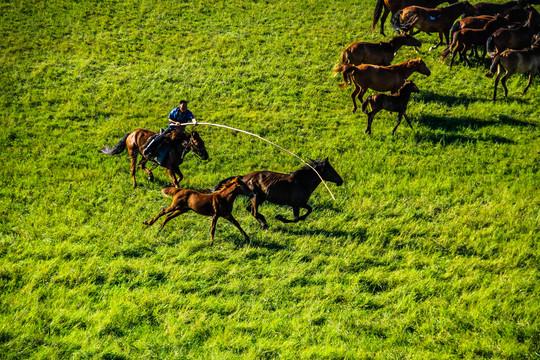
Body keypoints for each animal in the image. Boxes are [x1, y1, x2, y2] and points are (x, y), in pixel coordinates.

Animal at [214, 158, 342, 231]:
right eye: (330, 170)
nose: (341, 181)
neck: (302, 182)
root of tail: (243, 177)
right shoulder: (296, 203)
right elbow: (300, 216)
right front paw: (280, 217)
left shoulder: (298, 204)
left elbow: (303, 214)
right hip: (256, 196)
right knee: (254, 212)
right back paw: (265, 224)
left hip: (261, 198)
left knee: (250, 209)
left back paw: (264, 223)